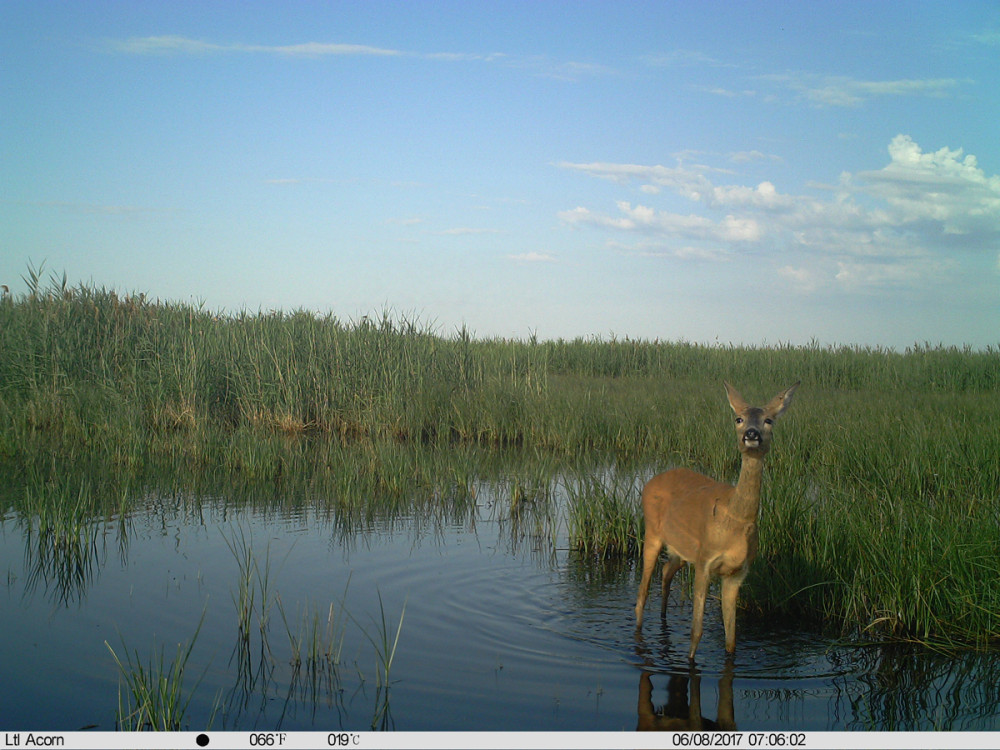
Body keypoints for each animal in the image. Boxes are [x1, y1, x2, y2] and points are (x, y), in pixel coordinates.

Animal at [636, 384, 800, 660]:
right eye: (739, 419)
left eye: (769, 420)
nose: (752, 434)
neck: (735, 521)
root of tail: (651, 482)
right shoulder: (705, 562)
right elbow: (696, 632)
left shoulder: (737, 573)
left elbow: (731, 639)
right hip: (652, 532)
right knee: (642, 594)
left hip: (681, 550)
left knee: (666, 570)